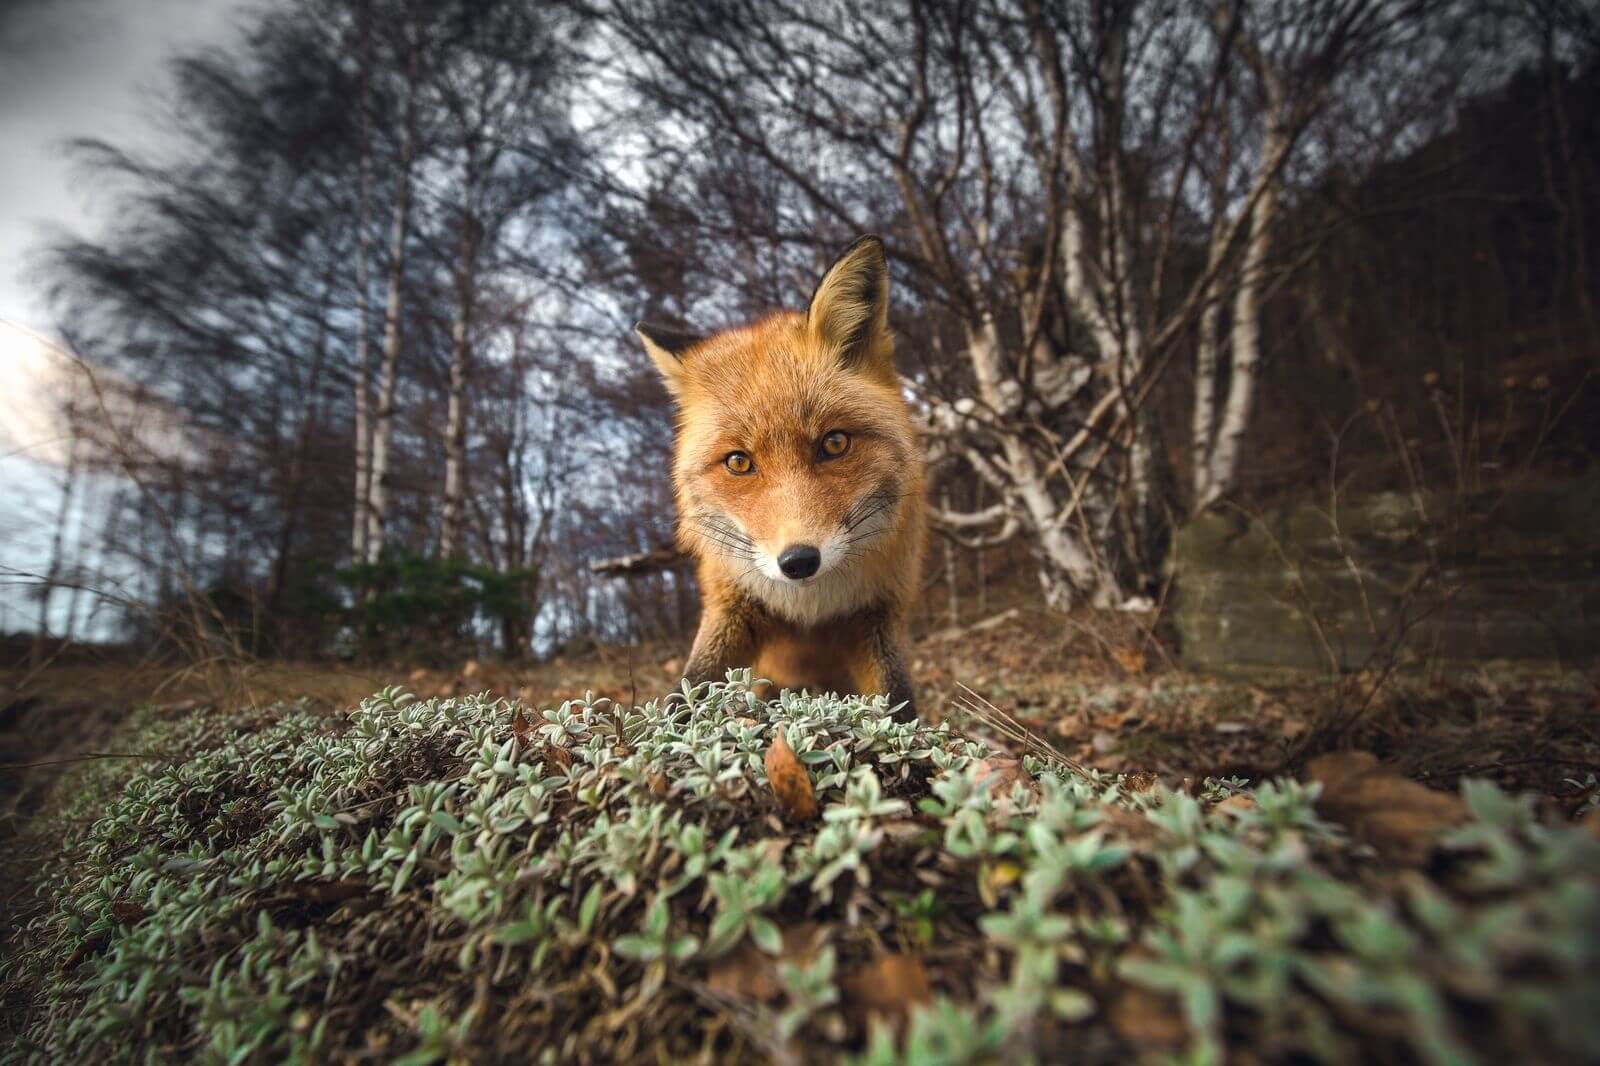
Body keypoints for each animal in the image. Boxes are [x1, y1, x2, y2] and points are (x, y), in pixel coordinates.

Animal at [633, 235, 928, 717]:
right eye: (738, 462)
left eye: (834, 443)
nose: (799, 562)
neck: (810, 605)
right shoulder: (731, 603)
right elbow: (689, 689)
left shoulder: (879, 613)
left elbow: (897, 703)